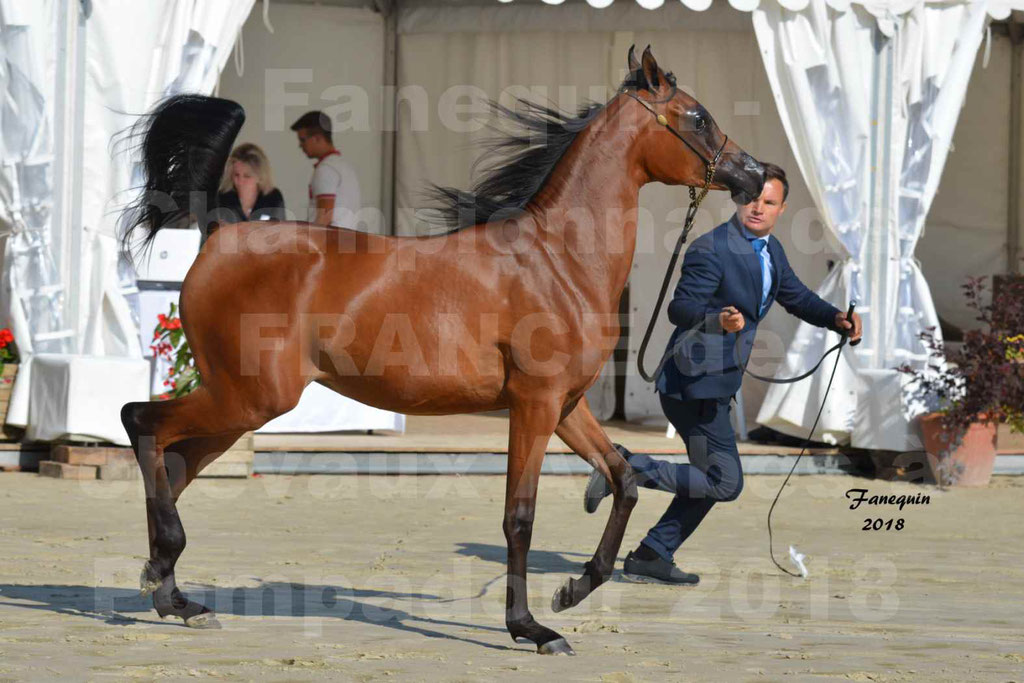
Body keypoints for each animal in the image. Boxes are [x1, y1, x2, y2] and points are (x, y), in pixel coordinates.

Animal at [117, 45, 761, 655]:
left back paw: (173, 596)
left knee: (172, 465)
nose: (756, 175)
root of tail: (220, 232)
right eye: (698, 118)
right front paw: (532, 629)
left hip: (239, 406)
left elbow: (624, 480)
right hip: (248, 398)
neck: (556, 259)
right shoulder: (533, 406)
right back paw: (168, 583)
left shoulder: (568, 408)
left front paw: (572, 591)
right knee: (141, 422)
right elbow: (520, 517)